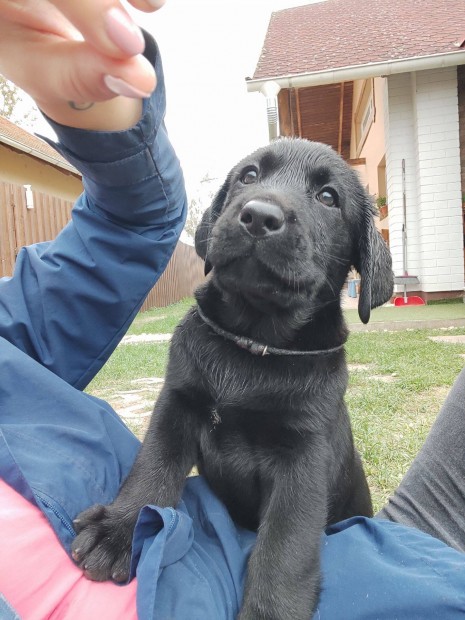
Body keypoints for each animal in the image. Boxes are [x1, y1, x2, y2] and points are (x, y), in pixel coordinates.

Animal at [72, 139, 392, 620]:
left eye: (328, 197)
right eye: (249, 176)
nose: (259, 216)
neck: (252, 342)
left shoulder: (303, 457)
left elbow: (284, 547)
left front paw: (269, 613)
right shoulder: (177, 405)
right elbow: (152, 470)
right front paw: (118, 530)